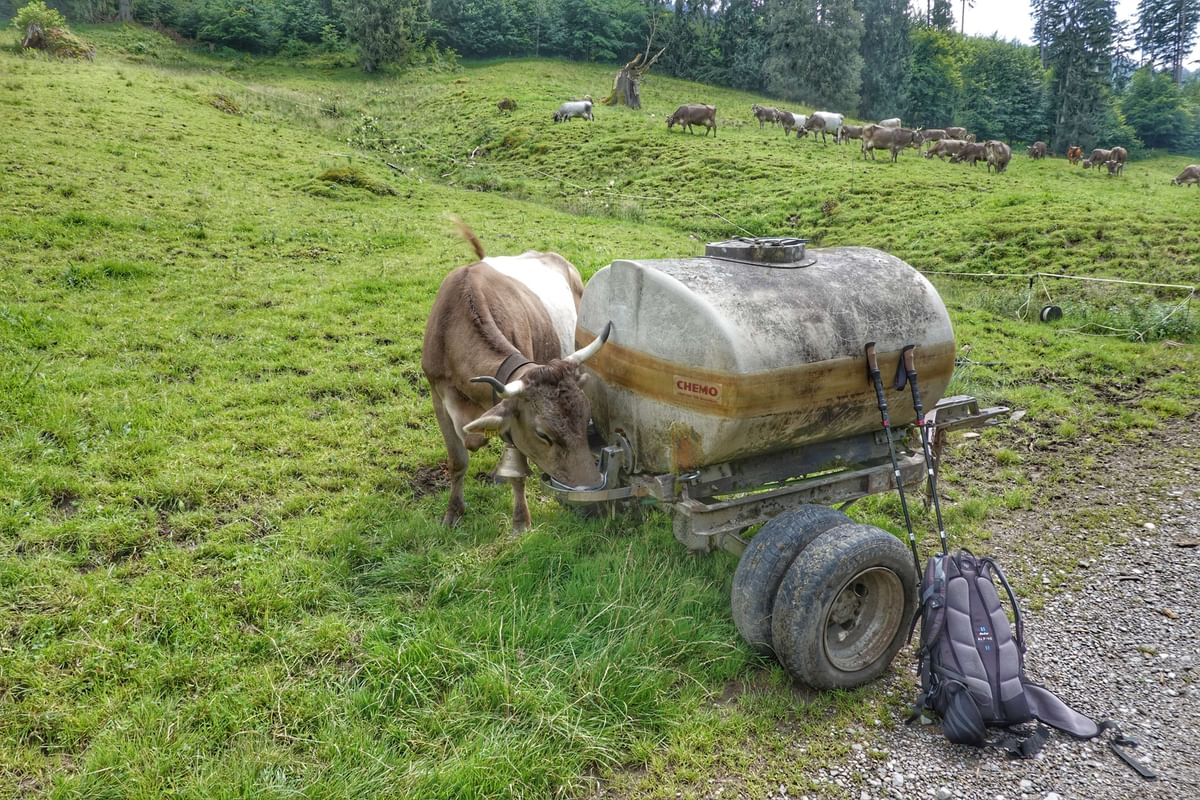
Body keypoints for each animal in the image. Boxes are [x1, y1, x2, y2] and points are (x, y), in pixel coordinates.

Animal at [422, 225, 612, 532]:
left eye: (586, 419)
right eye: (543, 434)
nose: (592, 489)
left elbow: (518, 470)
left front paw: (521, 521)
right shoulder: (437, 395)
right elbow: (457, 461)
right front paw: (453, 513)